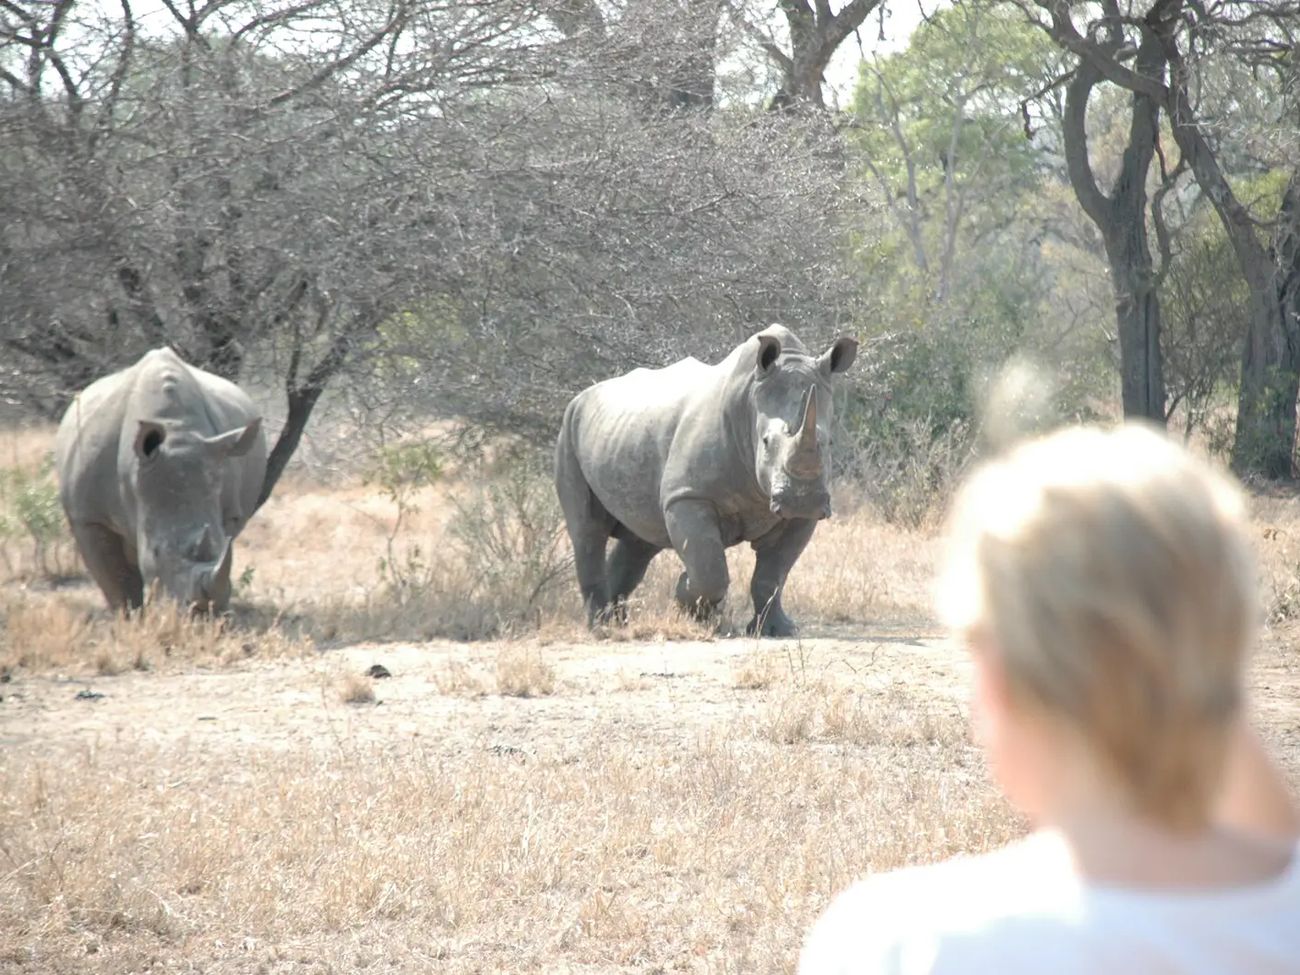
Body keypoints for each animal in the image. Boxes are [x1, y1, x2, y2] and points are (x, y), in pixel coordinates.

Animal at [54, 347, 267, 613]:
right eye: (154, 552)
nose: (201, 612)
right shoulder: (89, 517)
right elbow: (118, 583)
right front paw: (132, 619)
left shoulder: (229, 511)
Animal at [555, 324, 857, 636]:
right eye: (765, 442)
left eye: (829, 443)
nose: (802, 500)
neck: (749, 402)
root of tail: (580, 396)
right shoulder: (688, 494)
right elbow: (710, 570)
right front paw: (694, 604)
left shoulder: (800, 517)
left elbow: (773, 574)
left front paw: (775, 630)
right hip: (569, 430)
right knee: (588, 532)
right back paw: (600, 627)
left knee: (640, 539)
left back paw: (618, 622)